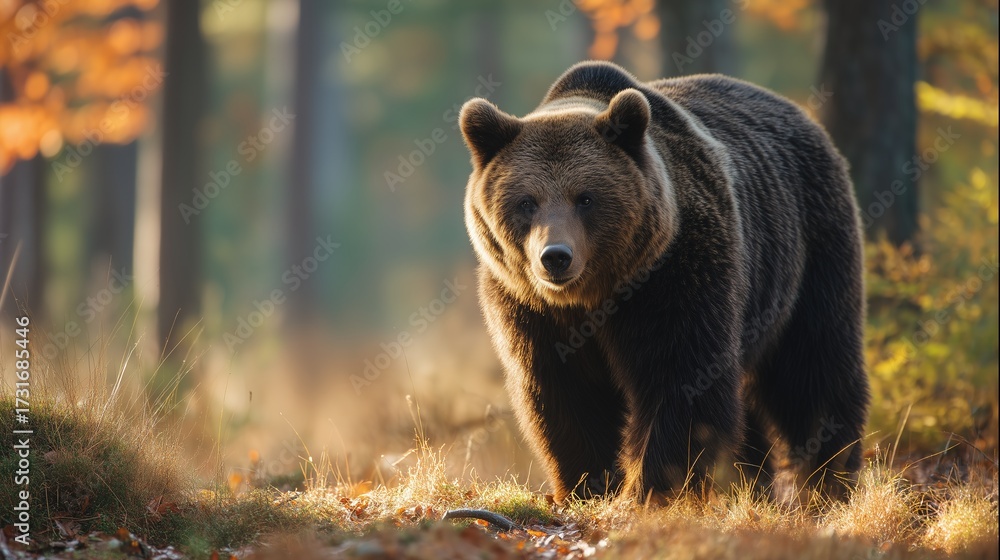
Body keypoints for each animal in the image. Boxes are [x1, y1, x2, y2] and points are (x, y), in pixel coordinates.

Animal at [459, 61, 870, 504]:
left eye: (585, 198)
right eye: (526, 202)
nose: (555, 257)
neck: (594, 294)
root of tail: (802, 116)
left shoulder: (675, 275)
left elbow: (680, 377)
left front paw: (652, 488)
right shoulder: (527, 305)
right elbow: (563, 391)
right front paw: (588, 484)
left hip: (810, 250)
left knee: (814, 365)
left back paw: (829, 479)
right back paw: (753, 484)